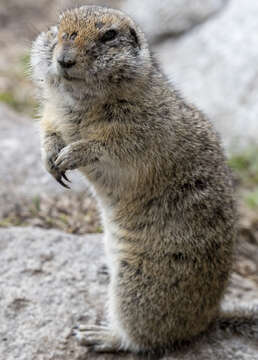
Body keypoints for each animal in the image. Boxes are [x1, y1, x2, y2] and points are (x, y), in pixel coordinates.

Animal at [31, 4, 258, 354]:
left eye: (109, 35)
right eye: (58, 28)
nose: (64, 60)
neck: (81, 100)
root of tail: (210, 317)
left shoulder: (142, 130)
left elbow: (109, 146)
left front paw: (73, 153)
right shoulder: (54, 114)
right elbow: (48, 128)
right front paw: (50, 157)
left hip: (139, 285)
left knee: (142, 337)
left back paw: (100, 334)